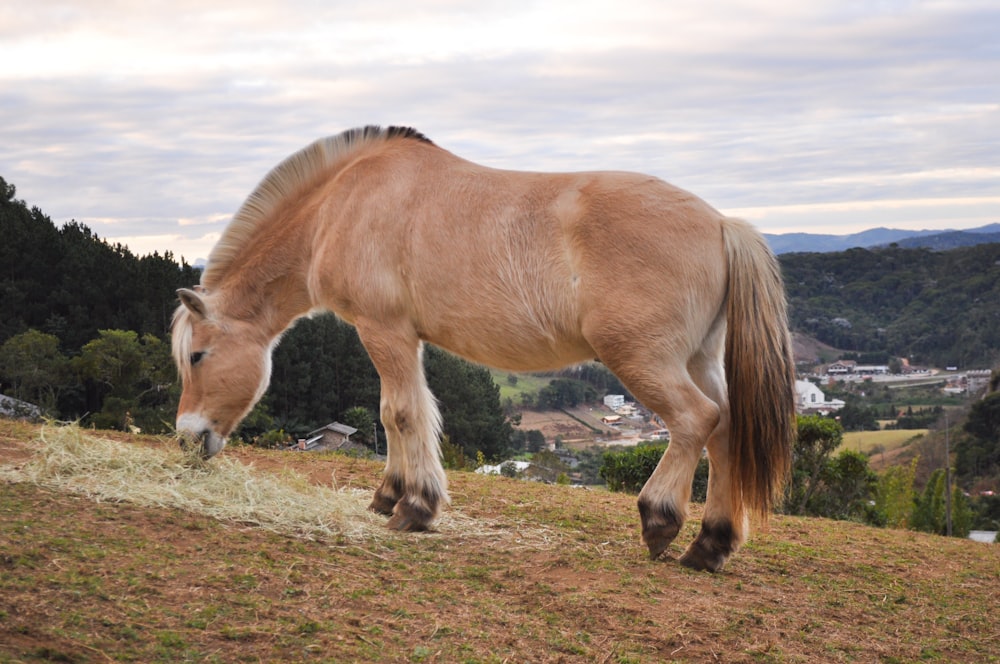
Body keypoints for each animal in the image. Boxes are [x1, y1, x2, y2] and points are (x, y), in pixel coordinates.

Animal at [174, 124, 796, 572]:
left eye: (197, 356)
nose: (186, 437)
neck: (342, 202)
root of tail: (722, 224)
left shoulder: (383, 330)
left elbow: (401, 412)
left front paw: (415, 508)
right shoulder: (401, 338)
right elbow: (398, 414)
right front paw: (390, 494)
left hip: (643, 360)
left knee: (696, 419)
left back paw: (660, 520)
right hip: (698, 359)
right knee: (726, 429)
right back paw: (709, 546)